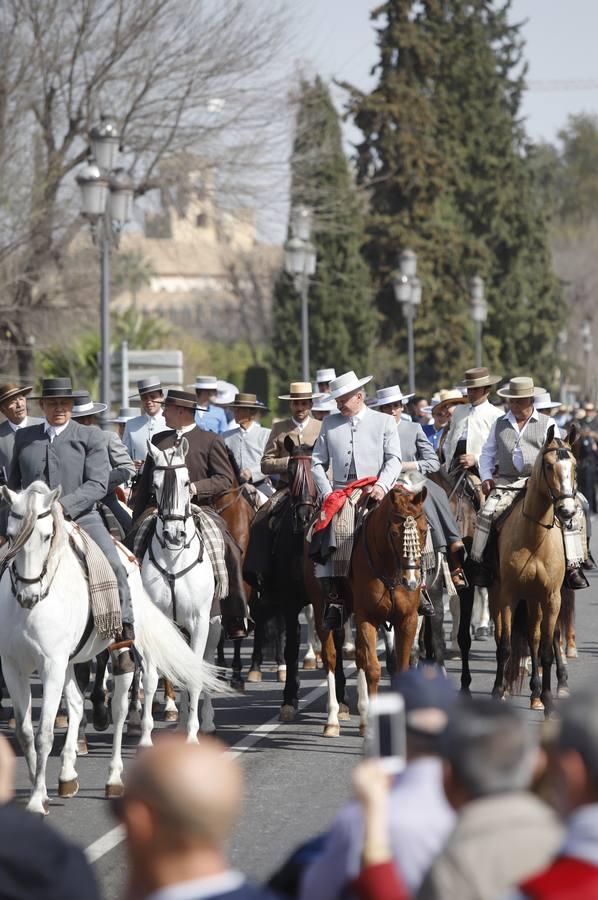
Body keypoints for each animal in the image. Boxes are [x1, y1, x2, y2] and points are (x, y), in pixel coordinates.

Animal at [0, 486, 224, 816]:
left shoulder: (51, 664)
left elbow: (43, 734)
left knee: (121, 706)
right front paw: (38, 792)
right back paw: (67, 775)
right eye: (10, 534)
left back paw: (115, 777)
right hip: (71, 660)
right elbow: (26, 733)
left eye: (46, 535)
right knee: (77, 704)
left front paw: (36, 801)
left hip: (125, 651)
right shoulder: (13, 666)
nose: (29, 593)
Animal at [140, 440, 220, 740]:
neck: (174, 557)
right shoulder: (157, 625)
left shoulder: (200, 622)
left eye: (186, 482)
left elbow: (197, 675)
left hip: (213, 625)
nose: (174, 535)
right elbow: (151, 678)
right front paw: (145, 736)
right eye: (155, 484)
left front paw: (193, 736)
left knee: (206, 662)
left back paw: (205, 721)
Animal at [312, 474, 428, 736]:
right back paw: (333, 719)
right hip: (322, 610)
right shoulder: (368, 618)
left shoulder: (407, 620)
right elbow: (374, 669)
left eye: (425, 530)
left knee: (359, 659)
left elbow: (399, 667)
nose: (412, 581)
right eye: (394, 533)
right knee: (331, 657)